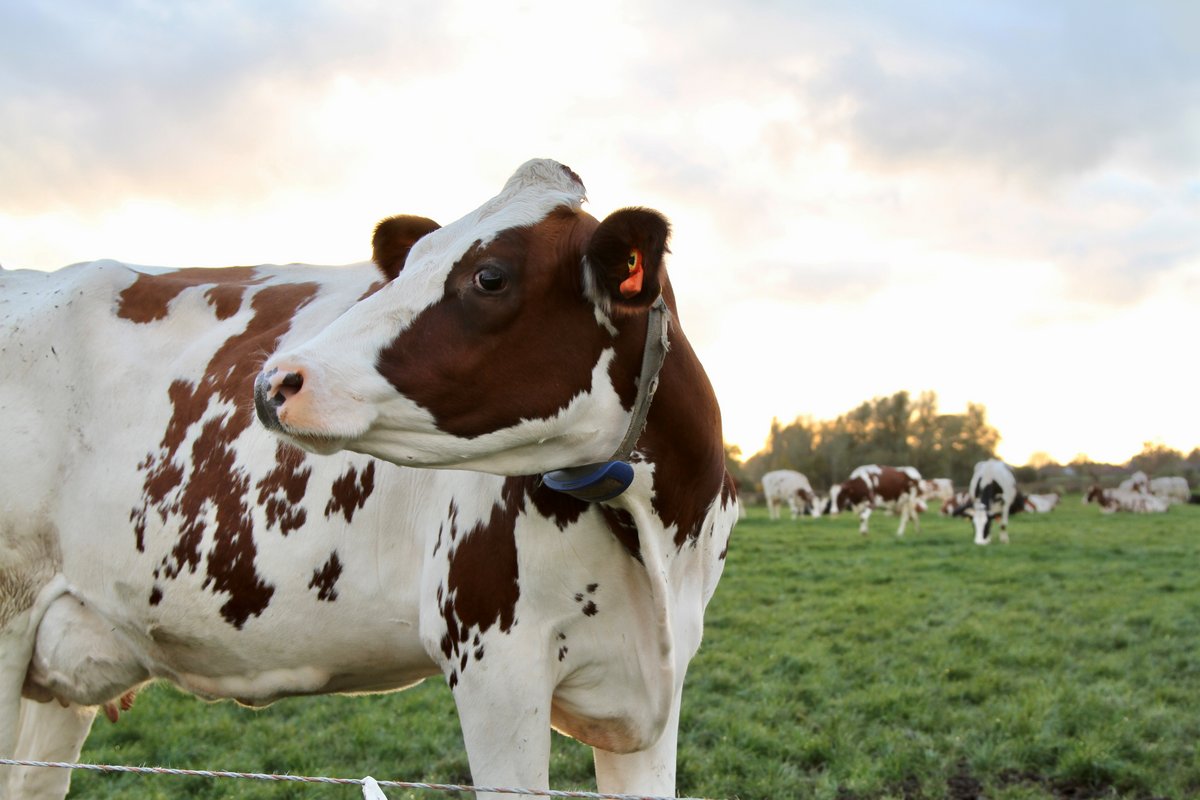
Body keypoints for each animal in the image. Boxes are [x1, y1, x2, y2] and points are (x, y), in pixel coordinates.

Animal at [0, 158, 734, 800]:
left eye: (490, 276)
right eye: (409, 263)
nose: (274, 380)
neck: (653, 537)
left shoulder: (657, 687)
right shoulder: (495, 660)